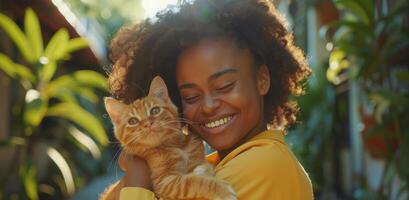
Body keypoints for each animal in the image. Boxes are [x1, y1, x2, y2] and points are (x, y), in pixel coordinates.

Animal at [99, 76, 236, 200]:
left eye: (155, 111)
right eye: (133, 121)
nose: (147, 124)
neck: (175, 146)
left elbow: (203, 166)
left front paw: (204, 170)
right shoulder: (164, 183)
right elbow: (192, 182)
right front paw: (222, 191)